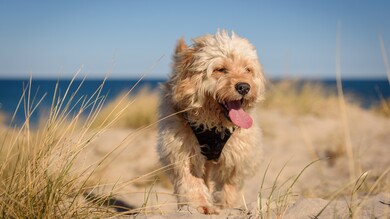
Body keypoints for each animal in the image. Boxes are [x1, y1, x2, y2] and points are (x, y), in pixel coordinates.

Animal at [158, 29, 266, 214]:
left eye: (247, 69)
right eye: (220, 69)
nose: (244, 87)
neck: (212, 125)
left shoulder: (235, 158)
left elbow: (229, 186)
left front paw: (227, 206)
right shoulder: (183, 152)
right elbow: (192, 182)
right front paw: (201, 206)